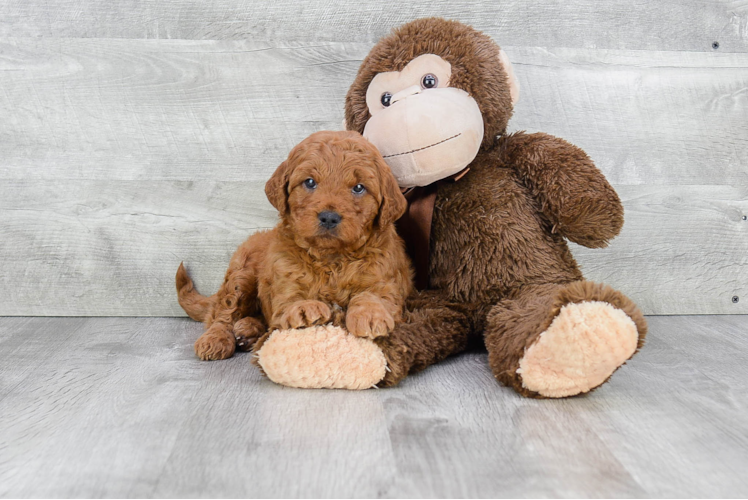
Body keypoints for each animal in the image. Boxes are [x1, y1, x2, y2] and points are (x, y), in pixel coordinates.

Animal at [175, 130, 412, 360]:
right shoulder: (285, 279)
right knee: (223, 313)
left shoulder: (385, 278)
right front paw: (304, 309)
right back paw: (216, 339)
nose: (329, 217)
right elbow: (290, 300)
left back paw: (248, 331)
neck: (331, 258)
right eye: (310, 182)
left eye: (359, 188)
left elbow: (375, 295)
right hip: (241, 273)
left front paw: (371, 314)